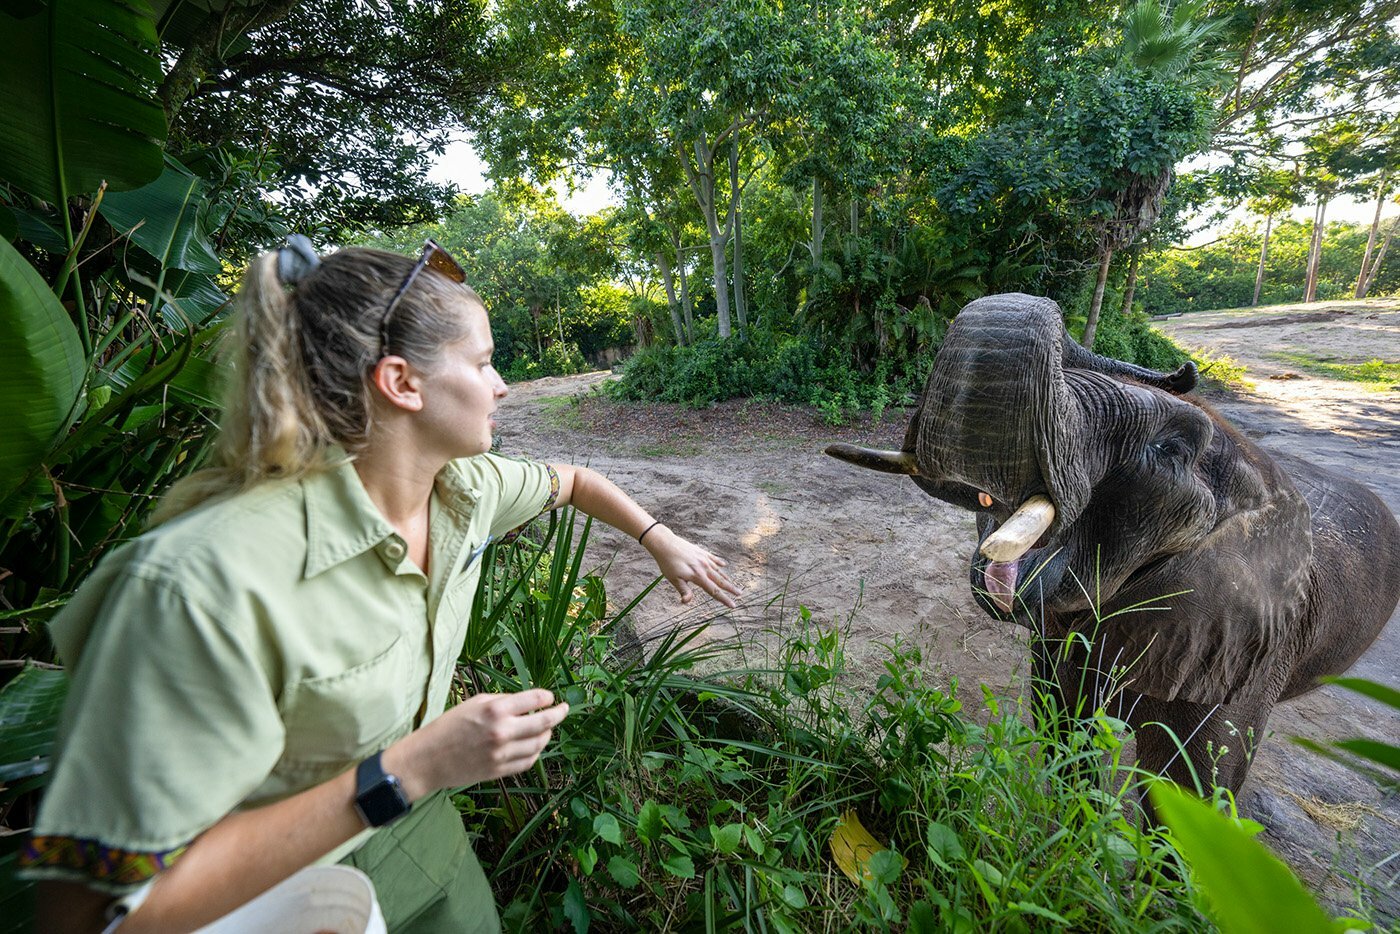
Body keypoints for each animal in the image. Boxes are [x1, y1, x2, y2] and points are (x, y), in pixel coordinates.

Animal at [827, 292, 1400, 795]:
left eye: (1171, 450)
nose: (1183, 368)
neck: (1258, 470)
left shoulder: (1249, 646)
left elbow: (1192, 796)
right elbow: (1062, 726)